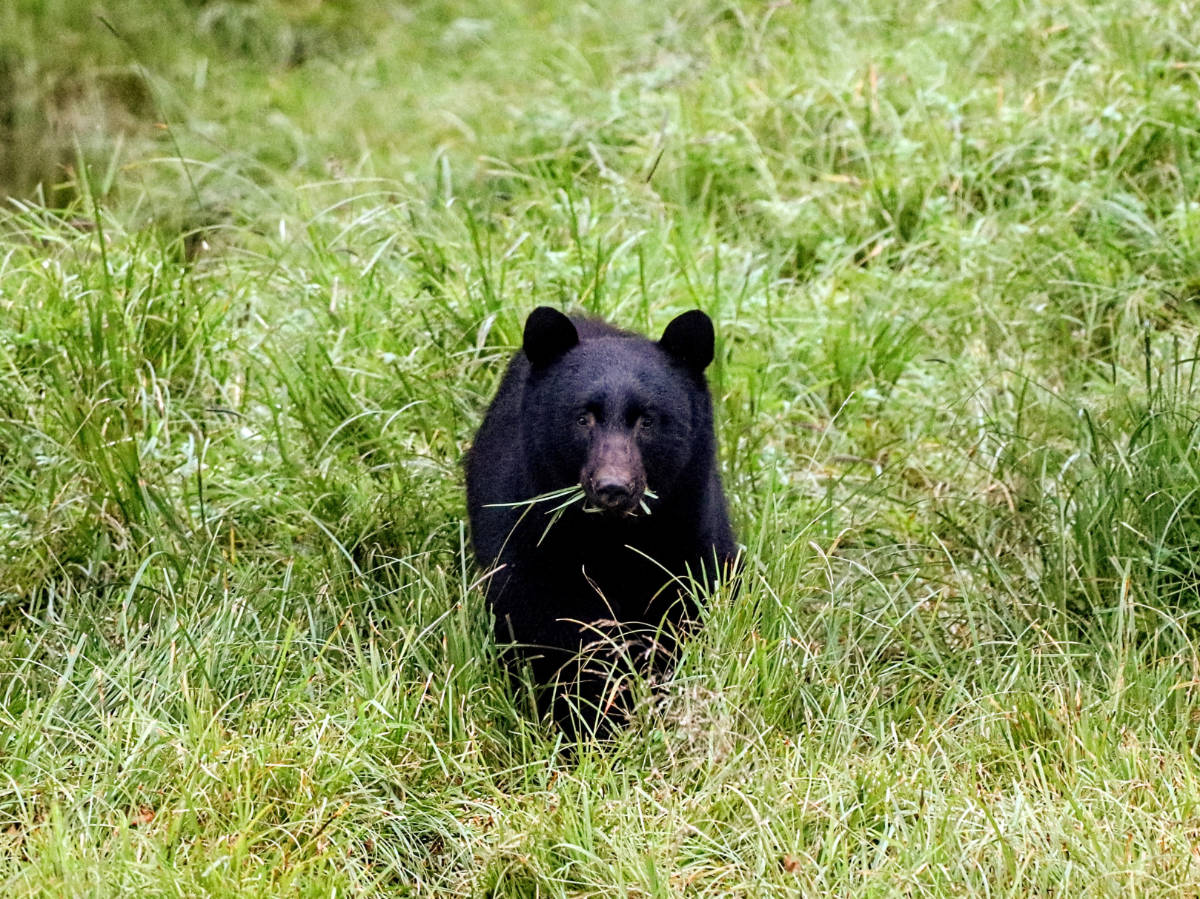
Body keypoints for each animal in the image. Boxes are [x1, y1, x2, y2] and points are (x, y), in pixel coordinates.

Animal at [466, 306, 736, 735]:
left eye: (647, 420)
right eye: (582, 418)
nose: (613, 487)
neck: (610, 538)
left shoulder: (689, 533)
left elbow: (680, 616)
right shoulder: (529, 545)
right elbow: (549, 631)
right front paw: (581, 722)